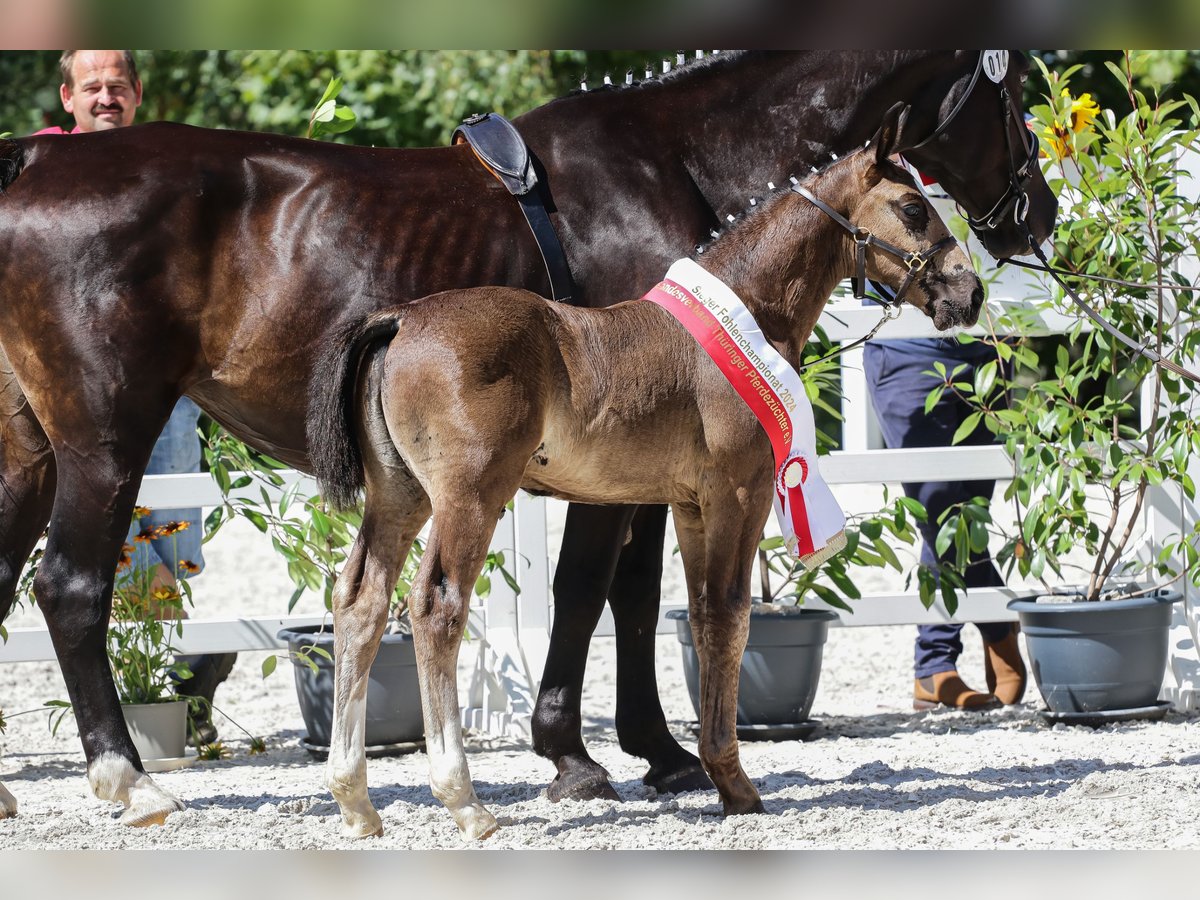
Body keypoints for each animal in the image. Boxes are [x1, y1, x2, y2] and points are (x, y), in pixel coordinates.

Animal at [0, 49, 1051, 825]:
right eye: (1009, 97)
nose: (999, 257)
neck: (679, 153)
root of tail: (31, 162)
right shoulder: (698, 492)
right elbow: (637, 602)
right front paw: (620, 761)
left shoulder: (654, 489)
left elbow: (641, 603)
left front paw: (654, 753)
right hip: (114, 439)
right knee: (80, 589)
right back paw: (142, 780)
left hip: (56, 450)